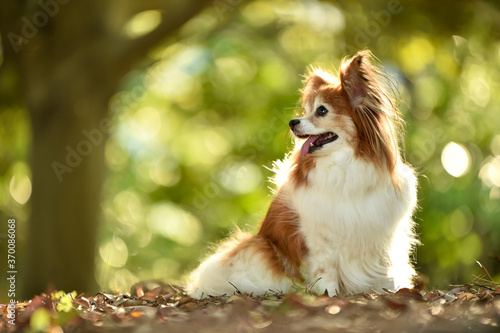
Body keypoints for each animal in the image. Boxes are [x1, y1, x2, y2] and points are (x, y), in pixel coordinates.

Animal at [187, 50, 418, 296]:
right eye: (305, 111)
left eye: (322, 111)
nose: (292, 122)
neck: (343, 164)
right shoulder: (320, 237)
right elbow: (326, 271)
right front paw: (329, 295)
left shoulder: (382, 233)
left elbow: (386, 268)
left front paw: (390, 291)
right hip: (258, 251)